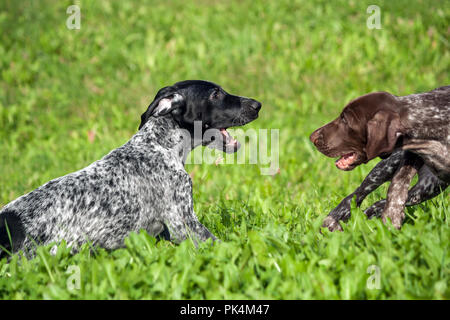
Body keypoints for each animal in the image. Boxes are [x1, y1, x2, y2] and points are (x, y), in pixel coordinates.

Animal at [312, 86, 448, 229]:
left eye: (345, 119)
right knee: (357, 195)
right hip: (388, 169)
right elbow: (397, 184)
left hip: (428, 188)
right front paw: (392, 217)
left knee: (379, 204)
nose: (312, 137)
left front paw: (391, 219)